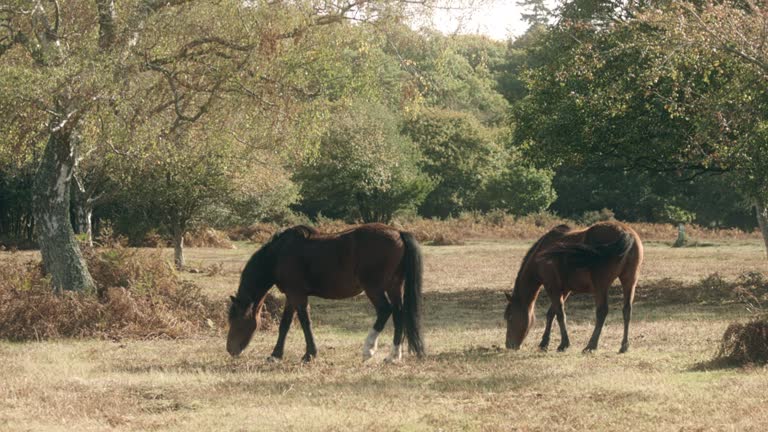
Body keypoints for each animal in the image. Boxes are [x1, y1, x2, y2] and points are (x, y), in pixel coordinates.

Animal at [225, 224, 428, 362]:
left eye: (237, 320)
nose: (230, 349)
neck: (278, 255)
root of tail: (399, 233)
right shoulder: (291, 296)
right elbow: (285, 325)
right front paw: (275, 355)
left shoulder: (298, 295)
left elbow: (305, 322)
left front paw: (310, 354)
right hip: (394, 287)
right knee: (399, 314)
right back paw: (393, 356)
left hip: (374, 288)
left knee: (385, 311)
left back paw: (368, 349)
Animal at [504, 221, 640, 352]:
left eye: (510, 317)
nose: (509, 345)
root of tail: (625, 233)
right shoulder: (564, 290)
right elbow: (551, 313)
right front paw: (544, 343)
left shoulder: (551, 286)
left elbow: (560, 314)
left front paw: (563, 344)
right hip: (629, 282)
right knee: (627, 310)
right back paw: (624, 346)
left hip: (601, 285)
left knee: (602, 312)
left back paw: (591, 345)